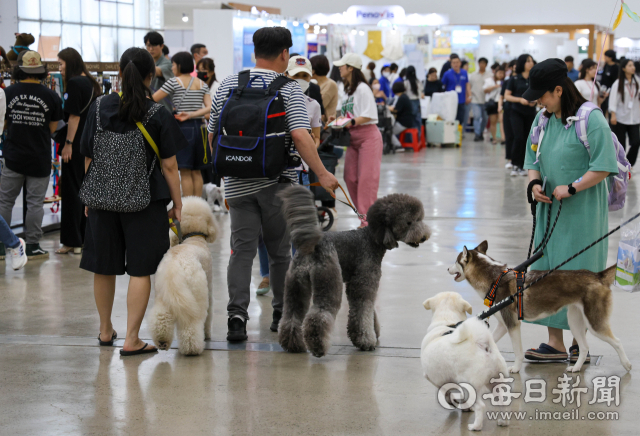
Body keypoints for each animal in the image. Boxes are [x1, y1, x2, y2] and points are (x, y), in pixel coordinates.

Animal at [149, 196, 219, 356]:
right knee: (192, 325)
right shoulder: (209, 288)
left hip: (163, 295)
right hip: (196, 295)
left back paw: (162, 341)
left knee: (161, 317)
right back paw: (193, 348)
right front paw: (208, 334)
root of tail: (174, 267)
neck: (194, 239)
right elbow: (209, 315)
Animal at [420, 292, 510, 430]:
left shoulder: (433, 378)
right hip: (495, 383)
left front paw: (453, 402)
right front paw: (466, 407)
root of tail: (483, 345)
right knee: (501, 401)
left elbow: (446, 391)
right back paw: (503, 422)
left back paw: (476, 427)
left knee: (481, 406)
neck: (447, 321)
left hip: (470, 385)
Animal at [448, 240, 632, 372]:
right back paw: (577, 368)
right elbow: (490, 339)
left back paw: (626, 364)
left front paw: (515, 368)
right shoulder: (503, 325)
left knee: (617, 342)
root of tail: (597, 276)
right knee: (585, 347)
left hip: (594, 323)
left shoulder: (513, 325)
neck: (496, 279)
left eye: (456, 261)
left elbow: (518, 352)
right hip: (575, 321)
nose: (447, 268)